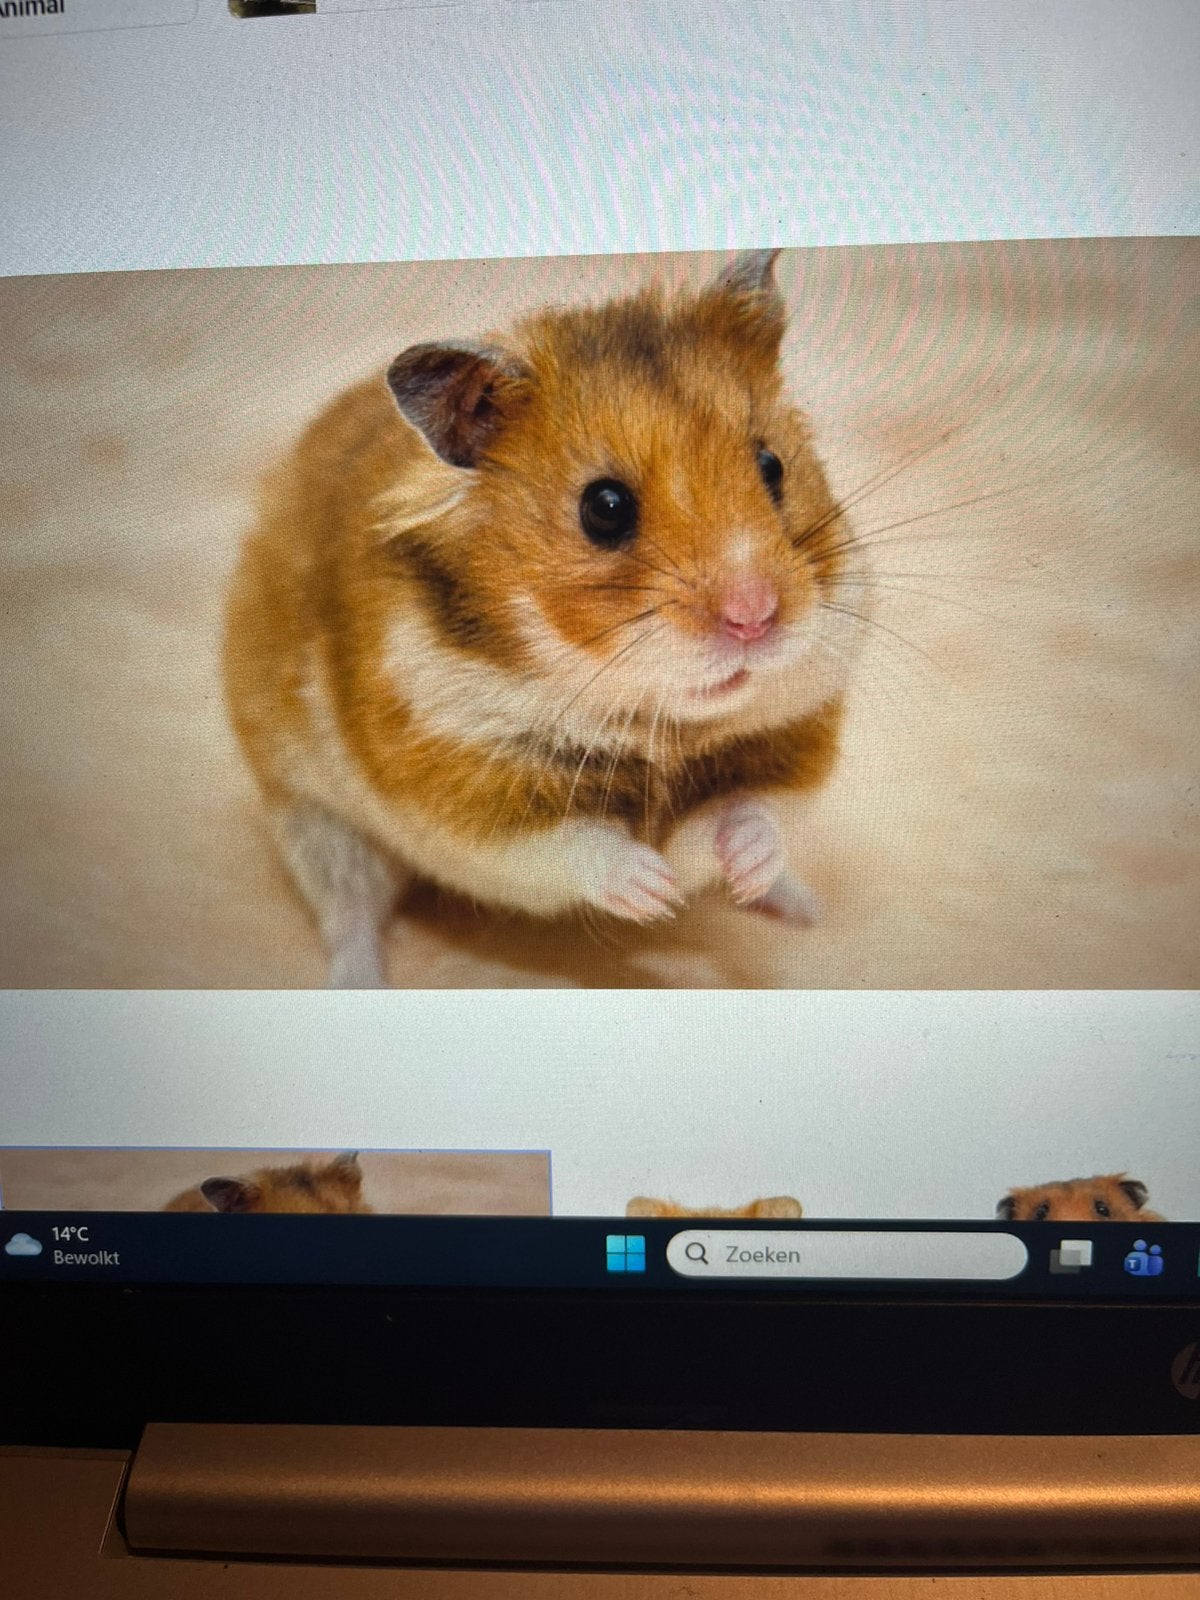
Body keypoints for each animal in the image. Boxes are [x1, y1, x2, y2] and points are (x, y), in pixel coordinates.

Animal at [224, 250, 863, 985]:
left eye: (771, 465)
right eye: (605, 508)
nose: (755, 619)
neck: (660, 726)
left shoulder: (793, 739)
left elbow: (747, 813)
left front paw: (726, 868)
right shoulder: (459, 791)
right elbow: (576, 845)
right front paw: (655, 890)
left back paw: (801, 907)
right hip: (315, 819)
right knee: (349, 910)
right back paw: (360, 978)